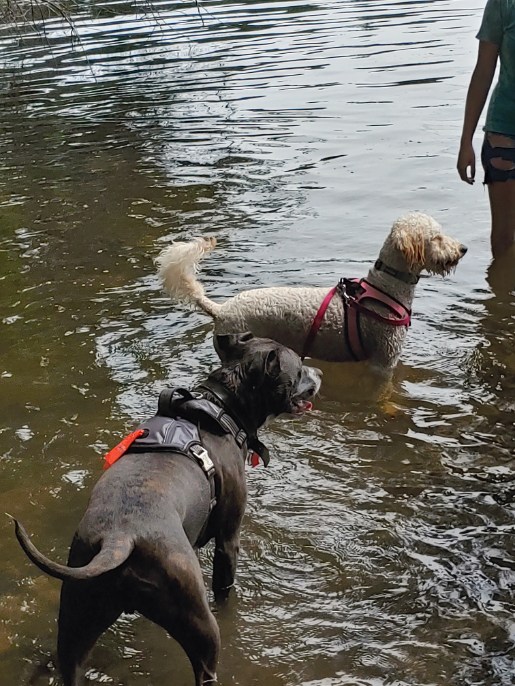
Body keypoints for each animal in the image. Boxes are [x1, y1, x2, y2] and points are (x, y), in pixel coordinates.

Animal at [13, 334, 322, 686]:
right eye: (299, 369)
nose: (319, 373)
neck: (222, 406)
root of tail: (120, 539)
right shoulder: (228, 538)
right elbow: (225, 588)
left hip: (75, 623)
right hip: (199, 623)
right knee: (206, 666)